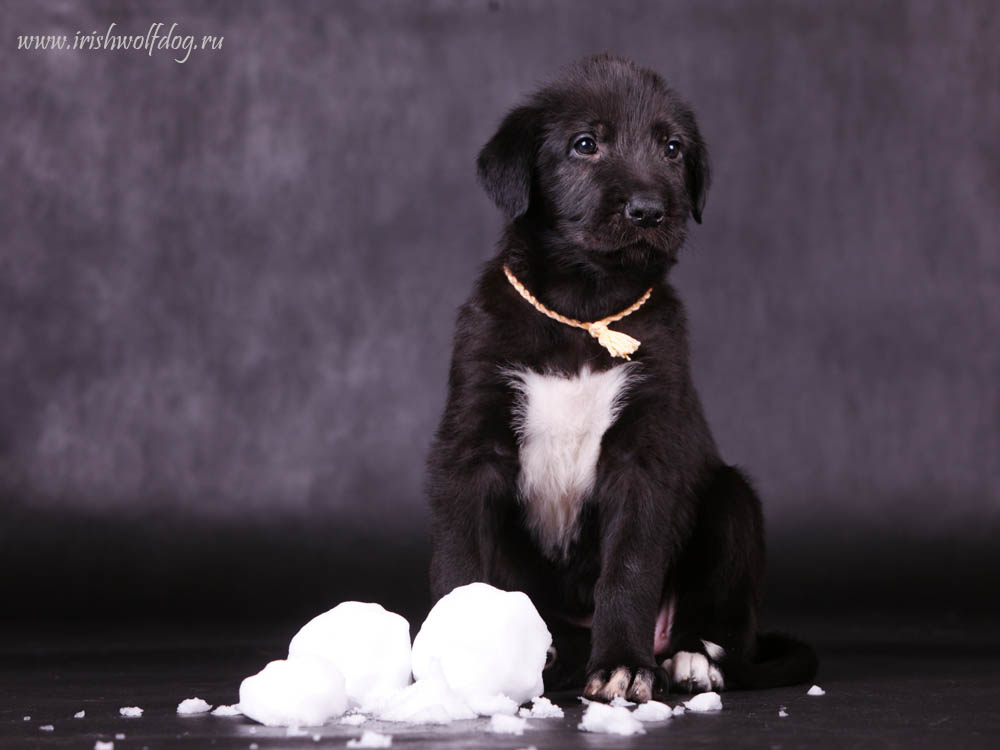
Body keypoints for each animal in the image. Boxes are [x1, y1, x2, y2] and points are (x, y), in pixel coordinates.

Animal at [426, 54, 816, 704]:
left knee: (726, 616)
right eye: (585, 144)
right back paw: (551, 650)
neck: (586, 309)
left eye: (672, 148)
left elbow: (629, 567)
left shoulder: (645, 453)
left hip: (731, 503)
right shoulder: (472, 441)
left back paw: (691, 657)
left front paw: (623, 666)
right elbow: (459, 561)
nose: (649, 211)